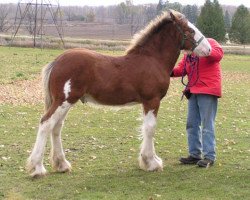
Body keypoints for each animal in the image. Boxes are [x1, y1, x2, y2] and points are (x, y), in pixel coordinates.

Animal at [26, 10, 211, 177]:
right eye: (190, 31)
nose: (208, 49)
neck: (152, 60)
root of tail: (57, 61)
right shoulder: (152, 100)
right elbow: (150, 128)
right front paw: (151, 163)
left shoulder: (147, 102)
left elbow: (146, 128)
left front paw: (150, 160)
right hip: (64, 100)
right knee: (46, 123)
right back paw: (38, 168)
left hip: (65, 102)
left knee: (56, 126)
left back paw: (62, 165)